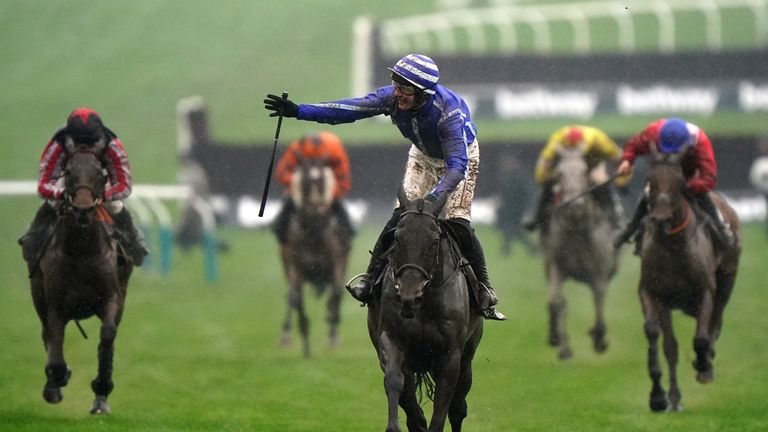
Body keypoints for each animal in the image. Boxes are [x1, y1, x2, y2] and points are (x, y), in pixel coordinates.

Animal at [28, 150, 133, 414]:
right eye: (68, 172)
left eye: (100, 173)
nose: (83, 208)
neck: (82, 252)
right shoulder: (55, 305)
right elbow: (54, 342)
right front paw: (58, 379)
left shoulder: (112, 298)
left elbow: (108, 336)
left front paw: (102, 388)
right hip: (38, 295)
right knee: (46, 334)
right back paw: (53, 385)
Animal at [280, 157, 352, 356]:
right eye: (304, 182)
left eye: (322, 181)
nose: (316, 212)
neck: (314, 233)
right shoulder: (295, 266)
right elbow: (296, 297)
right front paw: (305, 338)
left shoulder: (337, 261)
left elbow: (335, 293)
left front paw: (333, 333)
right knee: (290, 297)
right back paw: (285, 336)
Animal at [368, 189, 486, 432]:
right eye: (396, 238)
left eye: (434, 242)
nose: (408, 294)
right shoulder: (390, 338)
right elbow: (395, 382)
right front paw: (397, 424)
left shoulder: (450, 355)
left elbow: (443, 404)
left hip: (468, 354)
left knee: (458, 406)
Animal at [540, 147, 616, 360]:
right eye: (559, 174)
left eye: (584, 172)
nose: (575, 205)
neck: (577, 229)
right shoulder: (557, 265)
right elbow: (558, 302)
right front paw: (563, 346)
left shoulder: (600, 269)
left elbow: (599, 298)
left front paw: (599, 338)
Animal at [640, 144, 740, 412]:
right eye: (650, 180)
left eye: (679, 182)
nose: (660, 218)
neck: (673, 245)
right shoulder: (654, 293)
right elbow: (663, 341)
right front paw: (661, 397)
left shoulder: (705, 292)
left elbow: (702, 338)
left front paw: (703, 366)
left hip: (727, 279)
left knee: (716, 320)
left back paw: (707, 361)